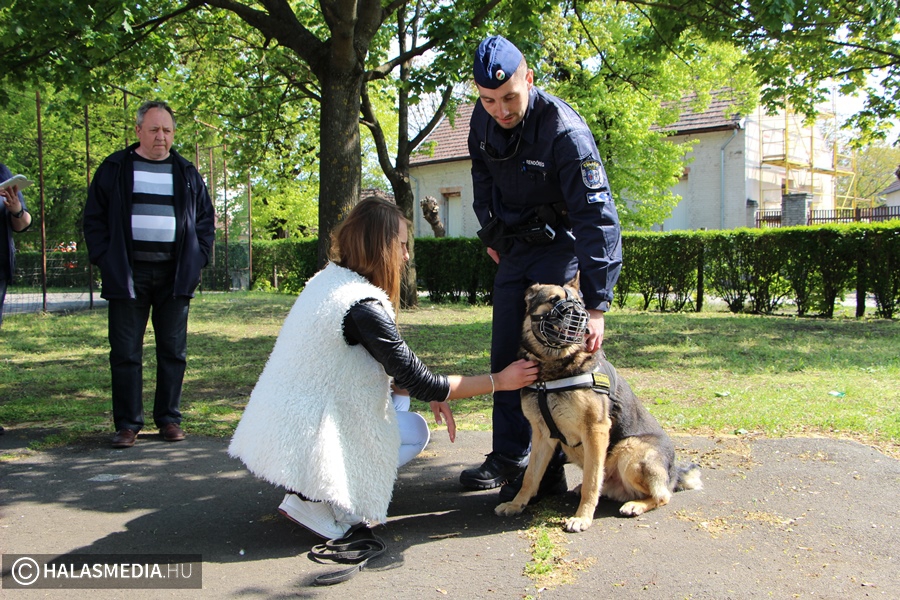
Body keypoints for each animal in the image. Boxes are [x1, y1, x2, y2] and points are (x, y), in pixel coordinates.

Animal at [495, 280, 702, 532]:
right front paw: (516, 504)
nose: (581, 316)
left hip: (629, 450)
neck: (553, 369)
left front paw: (582, 517)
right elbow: (530, 477)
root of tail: (673, 473)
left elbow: (592, 482)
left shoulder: (596, 430)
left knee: (662, 496)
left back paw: (635, 505)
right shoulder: (542, 435)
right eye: (554, 300)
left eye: (580, 303)